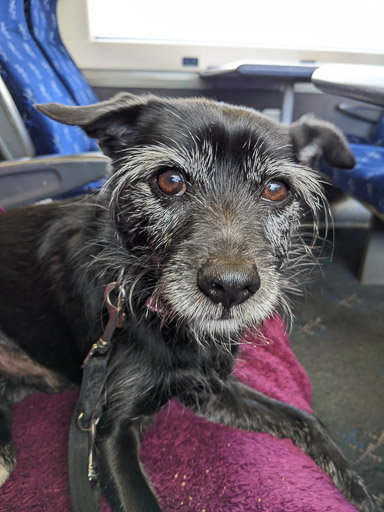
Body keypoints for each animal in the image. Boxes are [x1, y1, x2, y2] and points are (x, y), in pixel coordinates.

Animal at [0, 94, 376, 510]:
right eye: (170, 180)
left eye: (277, 188)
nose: (231, 287)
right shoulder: (109, 431)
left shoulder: (209, 389)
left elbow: (304, 420)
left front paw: (361, 493)